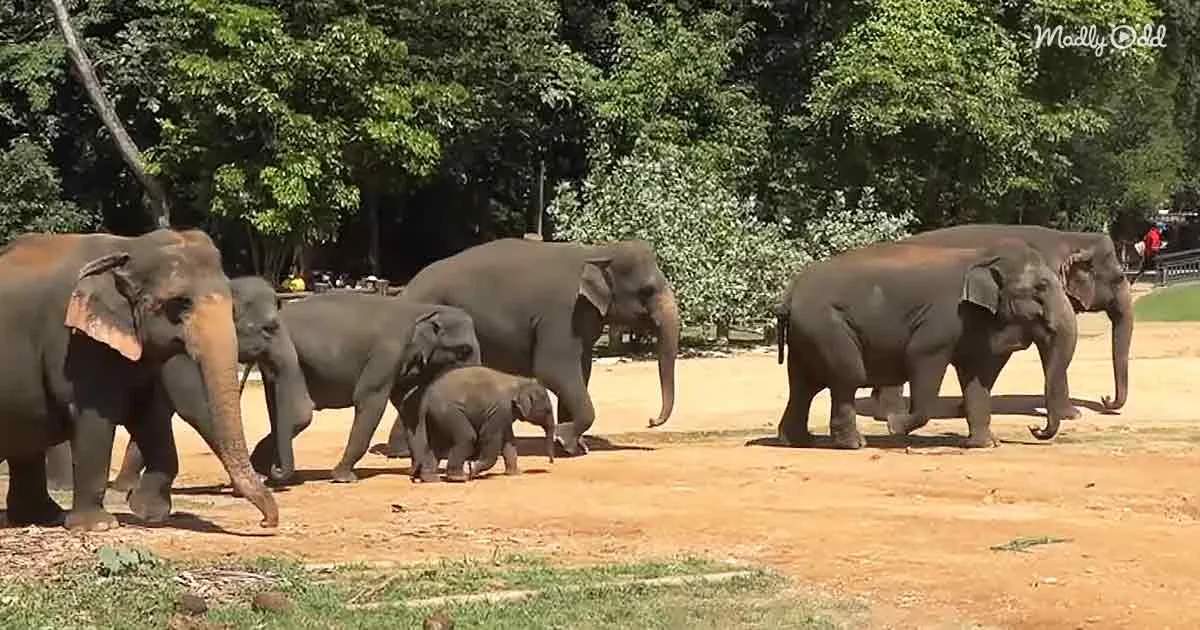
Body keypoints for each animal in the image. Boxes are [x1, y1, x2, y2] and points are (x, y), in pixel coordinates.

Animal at [0, 229, 277, 531]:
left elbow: (149, 416)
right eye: (180, 303)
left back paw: (42, 516)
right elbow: (95, 419)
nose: (266, 522)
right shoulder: (73, 343)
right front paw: (98, 526)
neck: (128, 247)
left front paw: (149, 513)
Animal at [384, 238, 680, 457]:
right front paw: (564, 439)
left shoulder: (582, 320)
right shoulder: (561, 314)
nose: (651, 420)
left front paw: (571, 447)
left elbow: (581, 370)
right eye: (647, 290)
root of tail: (405, 289)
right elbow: (553, 369)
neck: (596, 251)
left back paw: (402, 452)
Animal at [400, 365, 556, 483]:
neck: (519, 381)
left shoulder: (505, 414)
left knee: (437, 445)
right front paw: (473, 471)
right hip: (448, 412)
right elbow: (490, 439)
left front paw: (515, 473)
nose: (551, 462)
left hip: (437, 417)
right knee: (467, 438)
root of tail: (425, 400)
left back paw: (432, 479)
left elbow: (509, 441)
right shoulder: (499, 409)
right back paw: (459, 478)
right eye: (548, 410)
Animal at [774, 240, 1078, 449]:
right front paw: (894, 427)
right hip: (827, 326)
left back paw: (799, 441)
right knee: (846, 377)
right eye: (1041, 287)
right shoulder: (942, 319)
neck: (983, 255)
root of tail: (789, 294)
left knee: (803, 386)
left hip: (807, 333)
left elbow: (978, 376)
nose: (1034, 428)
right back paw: (854, 445)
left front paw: (985, 445)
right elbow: (921, 358)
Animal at [870, 224, 1132, 422]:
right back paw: (890, 414)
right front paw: (1072, 415)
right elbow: (1049, 348)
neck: (1069, 238)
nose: (1106, 400)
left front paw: (962, 408)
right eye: (1120, 277)